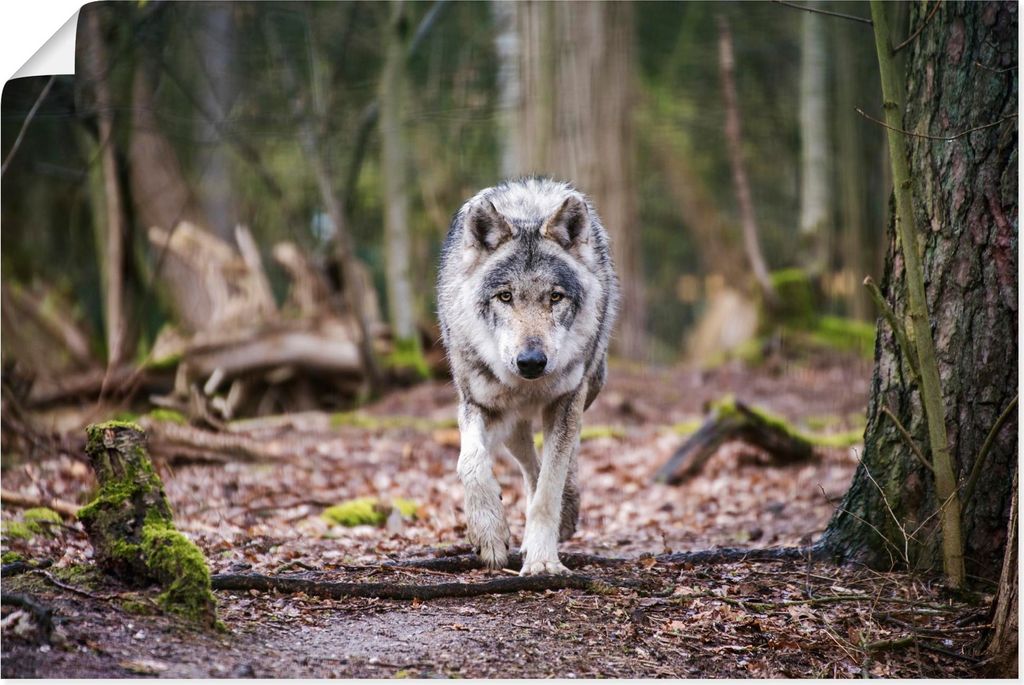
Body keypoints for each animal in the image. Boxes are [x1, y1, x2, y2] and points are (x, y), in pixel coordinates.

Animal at [437, 178, 619, 576]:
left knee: (566, 456)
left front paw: (542, 561)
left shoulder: (567, 401)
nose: (531, 362)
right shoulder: (477, 404)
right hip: (509, 421)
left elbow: (549, 488)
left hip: (589, 388)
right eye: (505, 296)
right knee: (527, 459)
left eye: (555, 297)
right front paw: (489, 533)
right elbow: (470, 463)